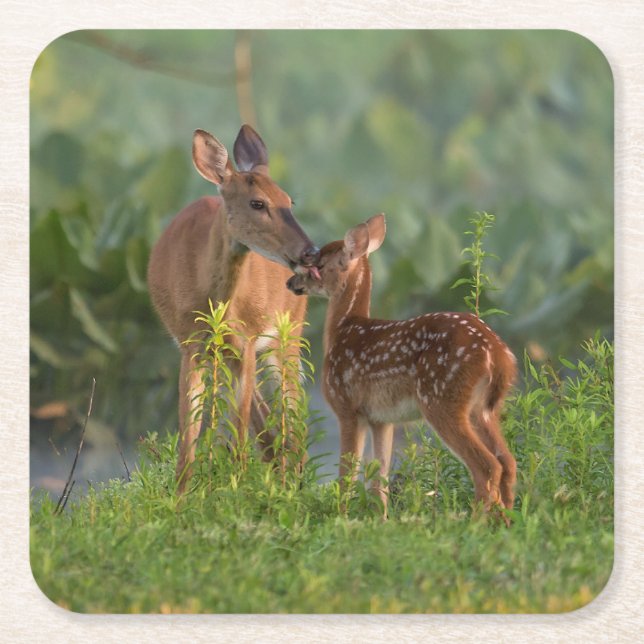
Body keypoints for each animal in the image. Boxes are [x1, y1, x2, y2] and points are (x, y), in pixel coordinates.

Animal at [147, 125, 320, 493]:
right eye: (257, 203)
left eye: (289, 201)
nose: (310, 251)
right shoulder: (190, 345)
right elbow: (189, 438)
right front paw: (181, 498)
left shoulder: (249, 341)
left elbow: (239, 432)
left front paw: (238, 490)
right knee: (266, 421)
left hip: (289, 336)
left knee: (293, 410)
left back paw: (294, 483)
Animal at [286, 213, 517, 520]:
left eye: (318, 266)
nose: (291, 282)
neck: (344, 328)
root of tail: (497, 354)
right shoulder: (382, 419)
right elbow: (379, 477)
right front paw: (381, 519)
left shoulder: (346, 406)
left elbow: (348, 473)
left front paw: (340, 516)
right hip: (484, 409)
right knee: (508, 462)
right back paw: (506, 520)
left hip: (442, 400)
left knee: (487, 465)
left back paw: (475, 522)